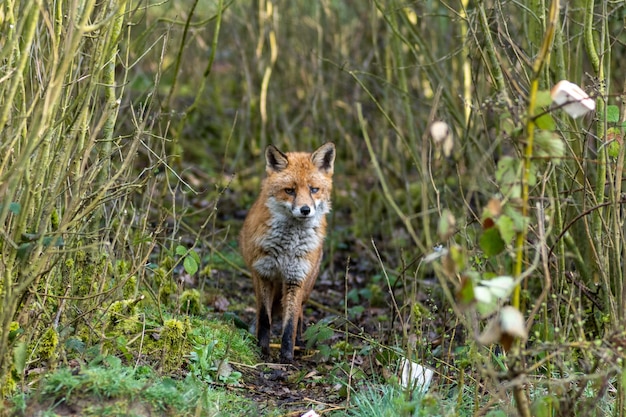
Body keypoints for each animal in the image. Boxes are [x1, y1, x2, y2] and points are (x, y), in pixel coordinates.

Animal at [240, 142, 336, 360]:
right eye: (290, 191)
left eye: (314, 189)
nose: (305, 210)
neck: (287, 248)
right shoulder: (263, 274)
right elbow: (265, 318)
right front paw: (263, 350)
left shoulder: (296, 278)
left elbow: (290, 323)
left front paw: (287, 356)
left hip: (307, 284)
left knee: (299, 313)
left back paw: (299, 343)